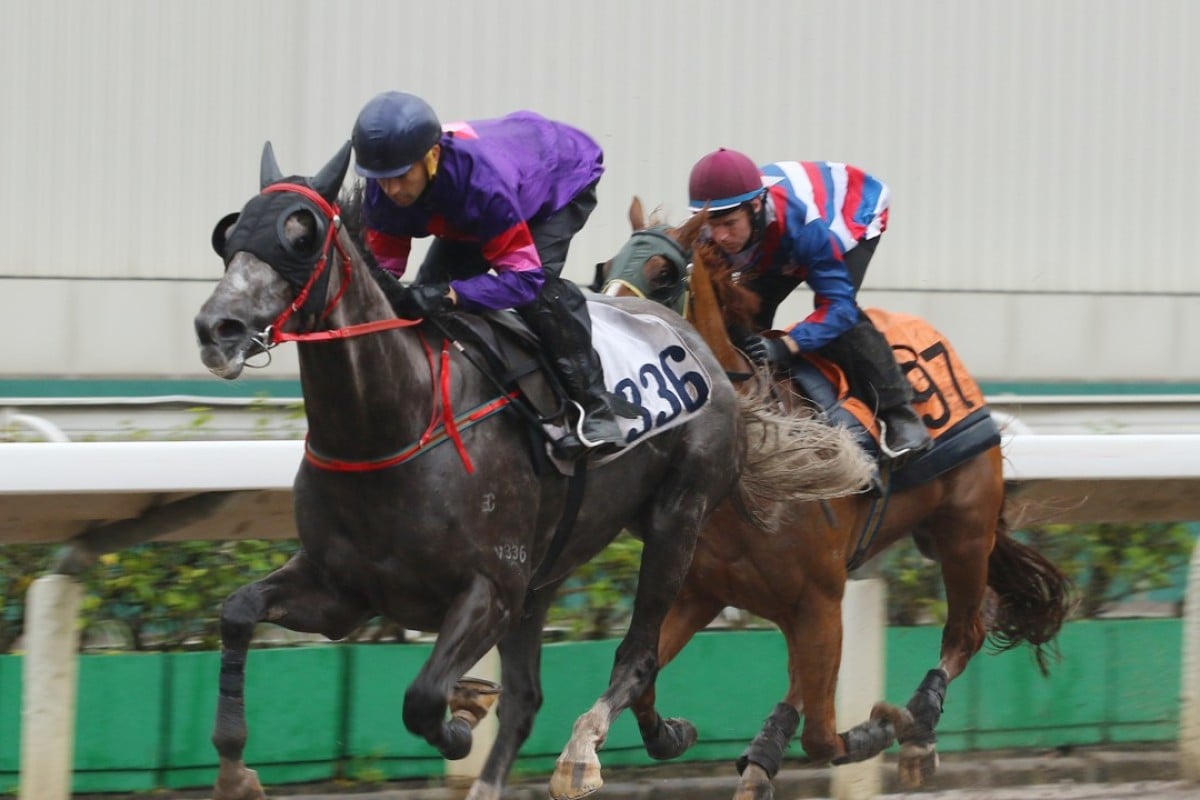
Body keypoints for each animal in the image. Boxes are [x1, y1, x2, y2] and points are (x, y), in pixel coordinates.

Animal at [595, 199, 1075, 796]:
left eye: (661, 273)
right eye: (603, 268)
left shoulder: (820, 598)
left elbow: (826, 738)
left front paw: (885, 725)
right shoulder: (701, 592)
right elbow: (641, 679)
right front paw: (674, 732)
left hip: (964, 532)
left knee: (966, 632)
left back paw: (918, 727)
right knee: (807, 679)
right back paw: (766, 754)